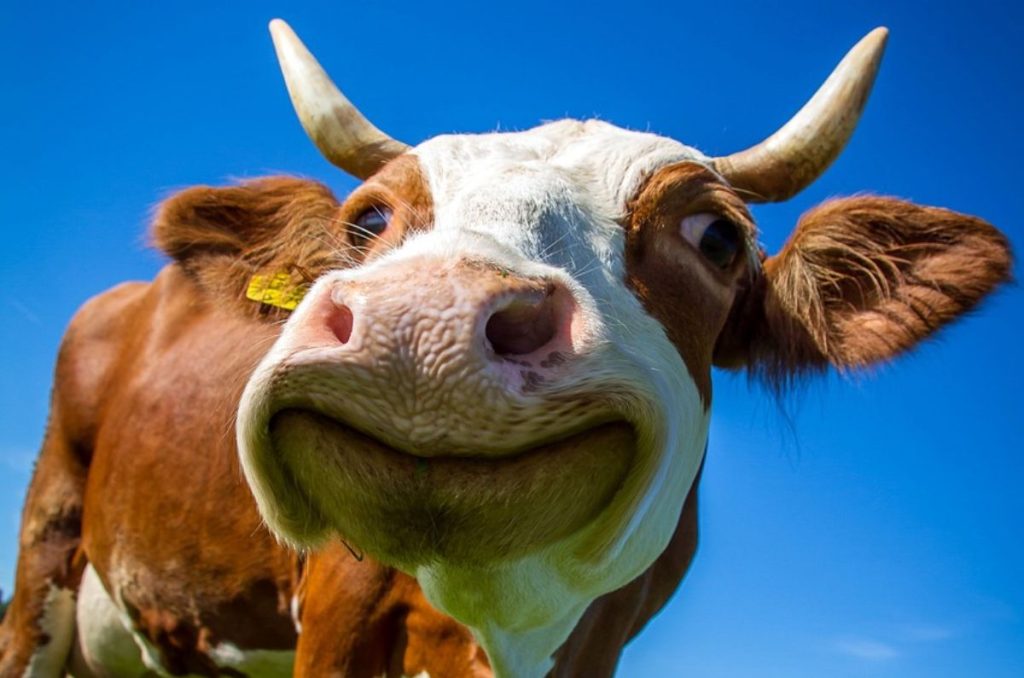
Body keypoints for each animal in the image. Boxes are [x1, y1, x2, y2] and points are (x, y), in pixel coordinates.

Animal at [0, 18, 1011, 678]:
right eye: (367, 221)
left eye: (717, 237)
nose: (423, 322)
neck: (500, 625)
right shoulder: (335, 614)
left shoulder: (604, 638)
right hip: (46, 552)